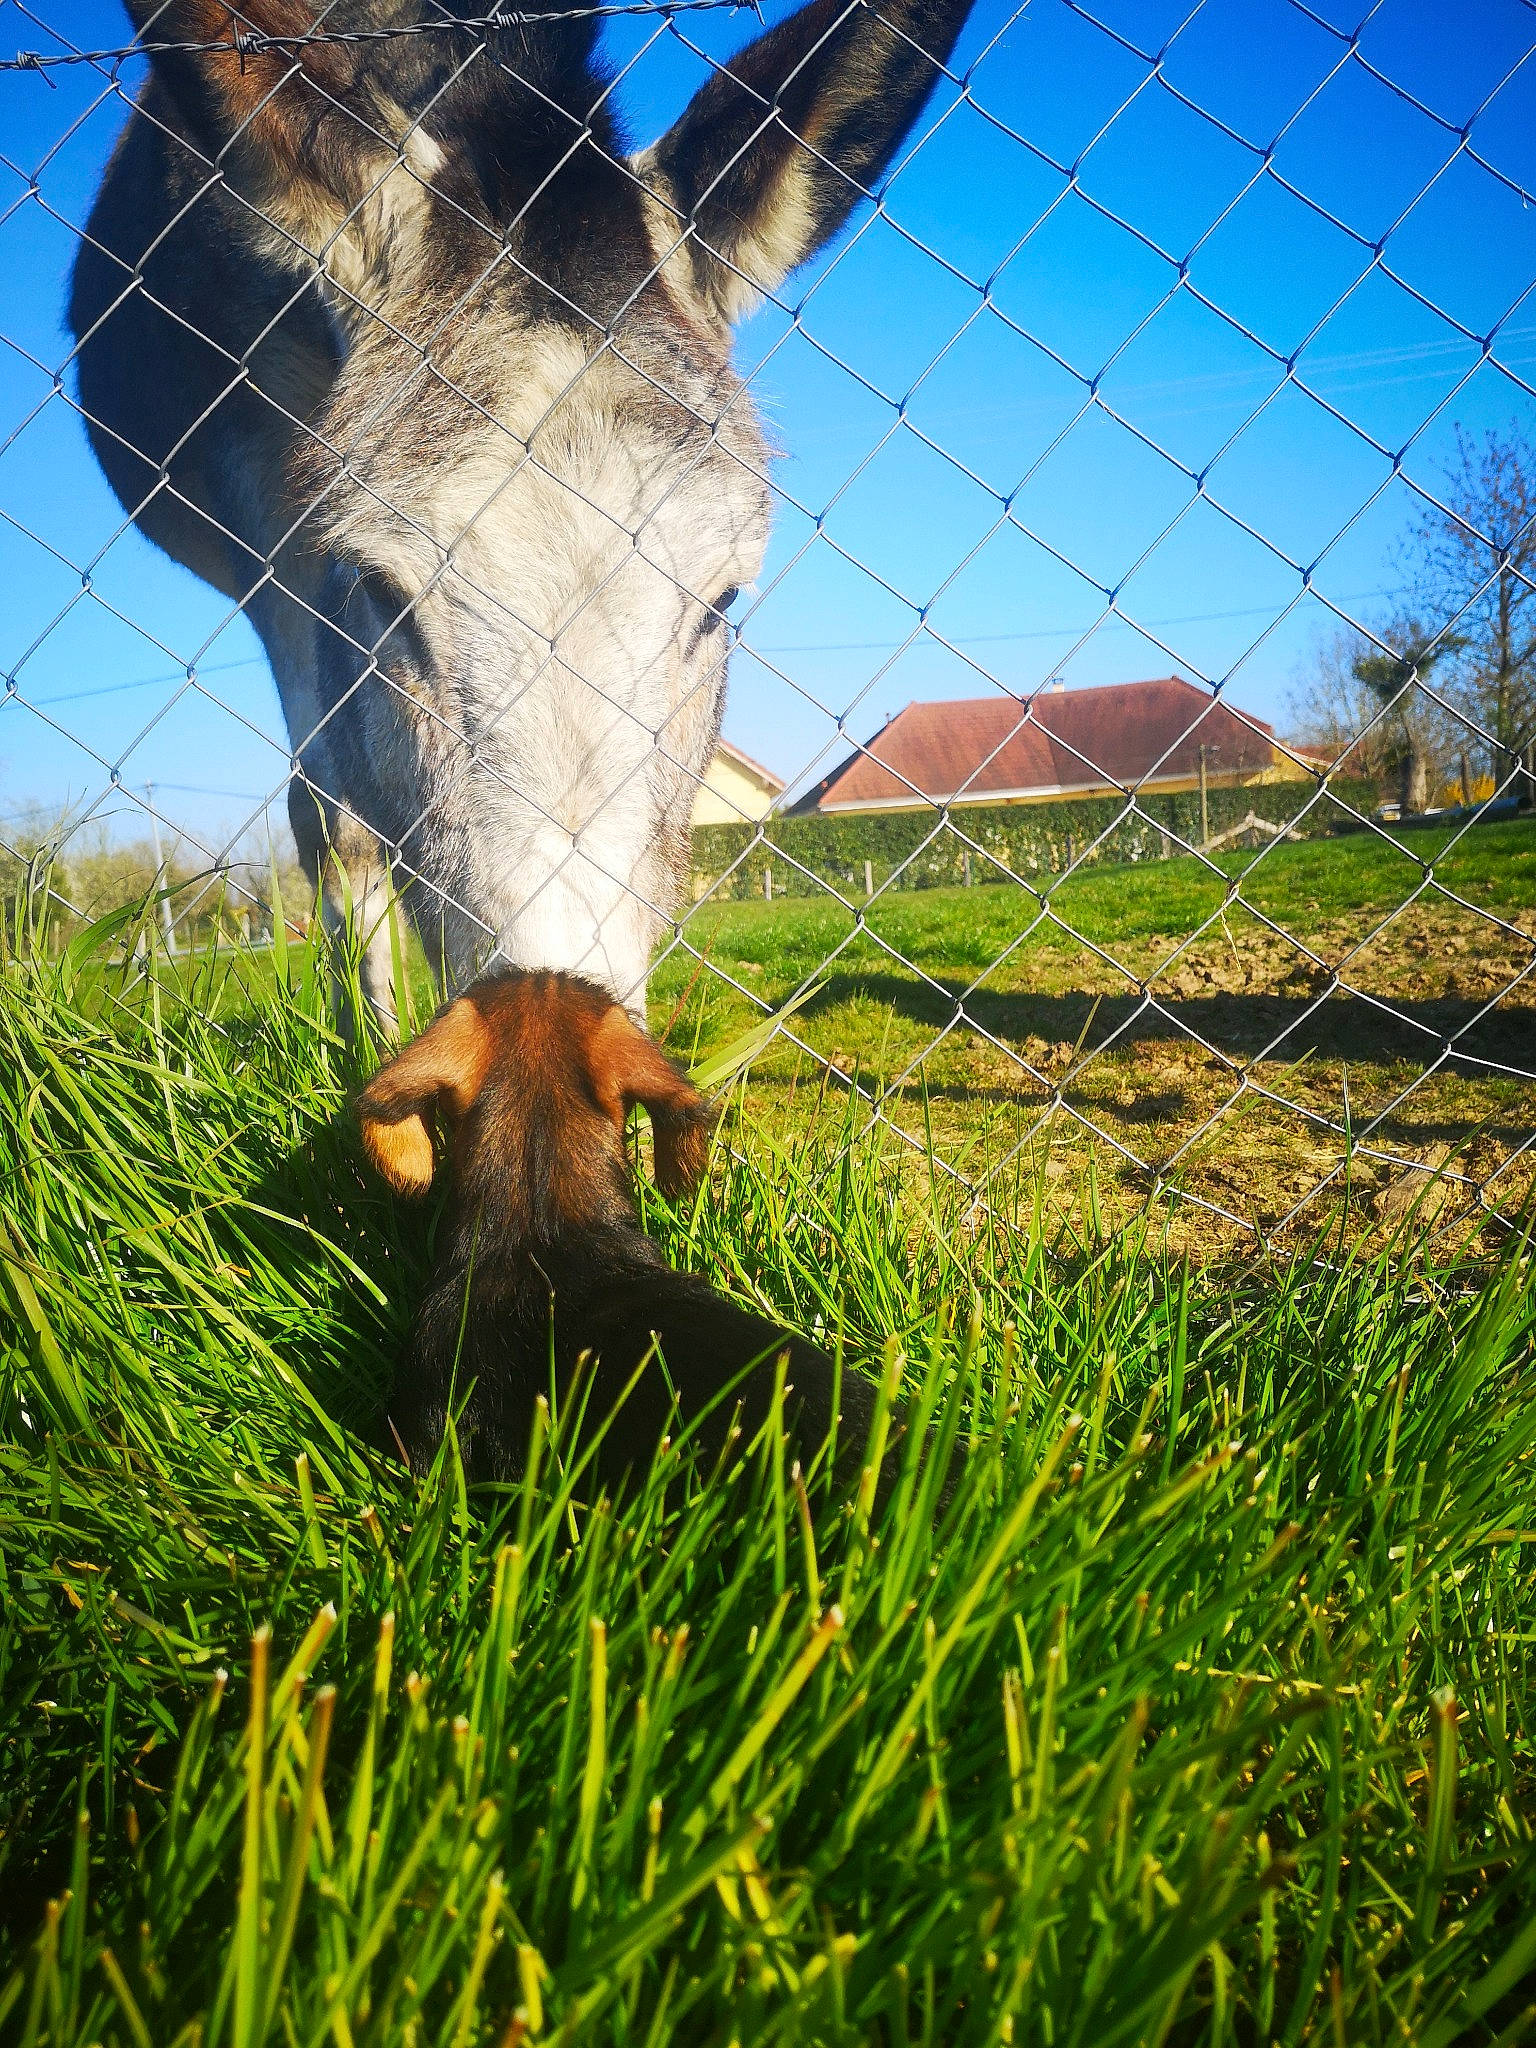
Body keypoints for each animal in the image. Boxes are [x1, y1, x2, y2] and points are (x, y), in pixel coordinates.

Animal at [70, 0, 978, 1026]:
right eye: (381, 592)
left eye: (722, 603)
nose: (549, 1029)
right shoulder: (276, 516)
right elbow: (337, 824)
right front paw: (376, 1052)